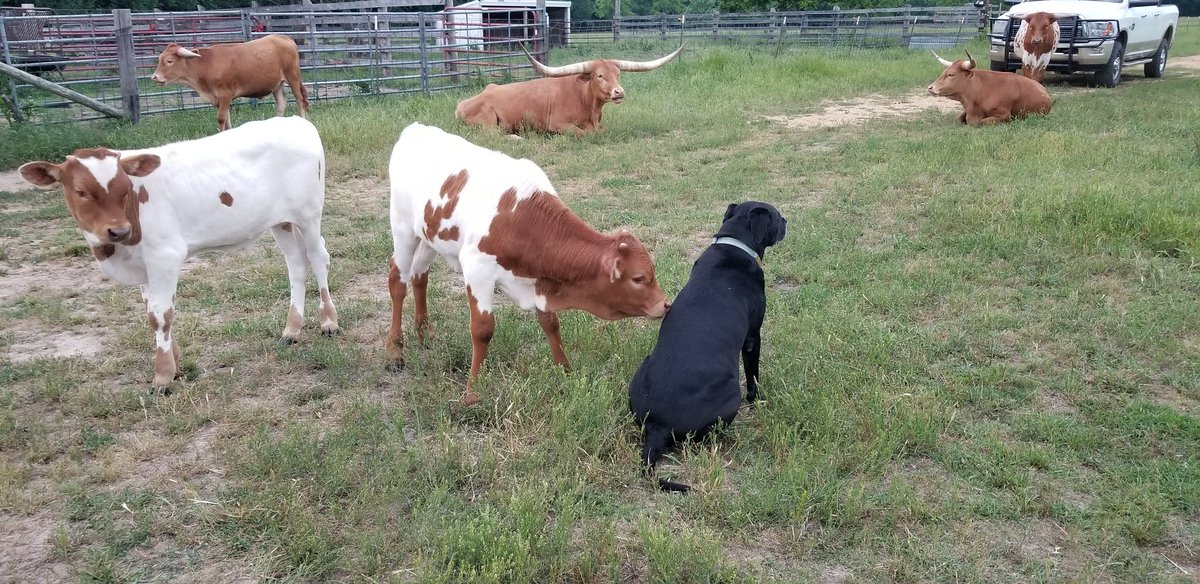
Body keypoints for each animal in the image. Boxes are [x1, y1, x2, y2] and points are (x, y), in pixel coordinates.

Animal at [151, 34, 309, 131]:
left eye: (169, 61)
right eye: (160, 59)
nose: (154, 77)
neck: (206, 64)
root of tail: (284, 37)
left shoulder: (225, 94)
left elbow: (221, 118)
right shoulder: (220, 99)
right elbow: (226, 118)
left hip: (293, 77)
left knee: (299, 99)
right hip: (277, 83)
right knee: (281, 103)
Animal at [386, 123, 672, 407]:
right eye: (638, 278)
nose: (666, 304)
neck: (522, 219)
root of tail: (416, 128)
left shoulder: (539, 280)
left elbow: (550, 322)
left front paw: (565, 371)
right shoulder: (478, 270)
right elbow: (482, 329)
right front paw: (472, 392)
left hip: (429, 237)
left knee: (419, 276)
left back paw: (424, 334)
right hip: (402, 228)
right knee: (397, 280)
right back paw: (394, 351)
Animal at [453, 45, 686, 134]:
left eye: (618, 74)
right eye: (599, 75)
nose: (619, 92)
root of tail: (462, 103)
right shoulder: (558, 125)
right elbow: (585, 134)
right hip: (489, 122)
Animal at [628, 202, 787, 494]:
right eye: (775, 215)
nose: (787, 221)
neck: (734, 245)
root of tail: (658, 427)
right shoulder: (752, 336)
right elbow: (753, 375)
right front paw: (757, 400)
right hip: (730, 396)